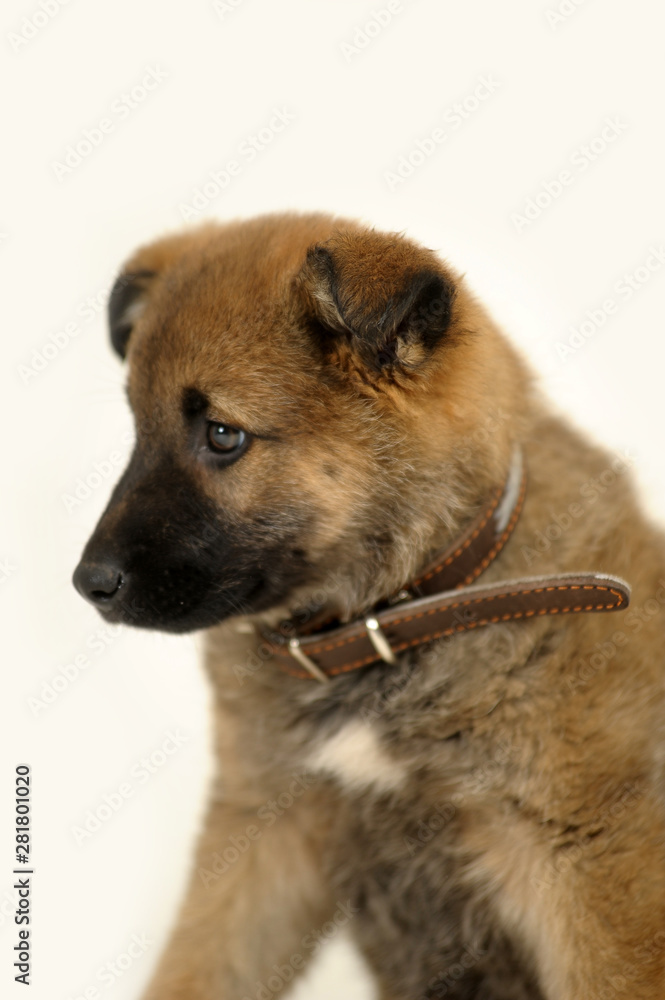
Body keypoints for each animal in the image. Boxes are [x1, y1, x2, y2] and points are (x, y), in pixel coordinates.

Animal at [72, 217, 664, 1000]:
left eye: (223, 434)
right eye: (139, 430)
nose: (87, 583)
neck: (387, 619)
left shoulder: (587, 862)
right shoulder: (263, 835)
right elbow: (200, 967)